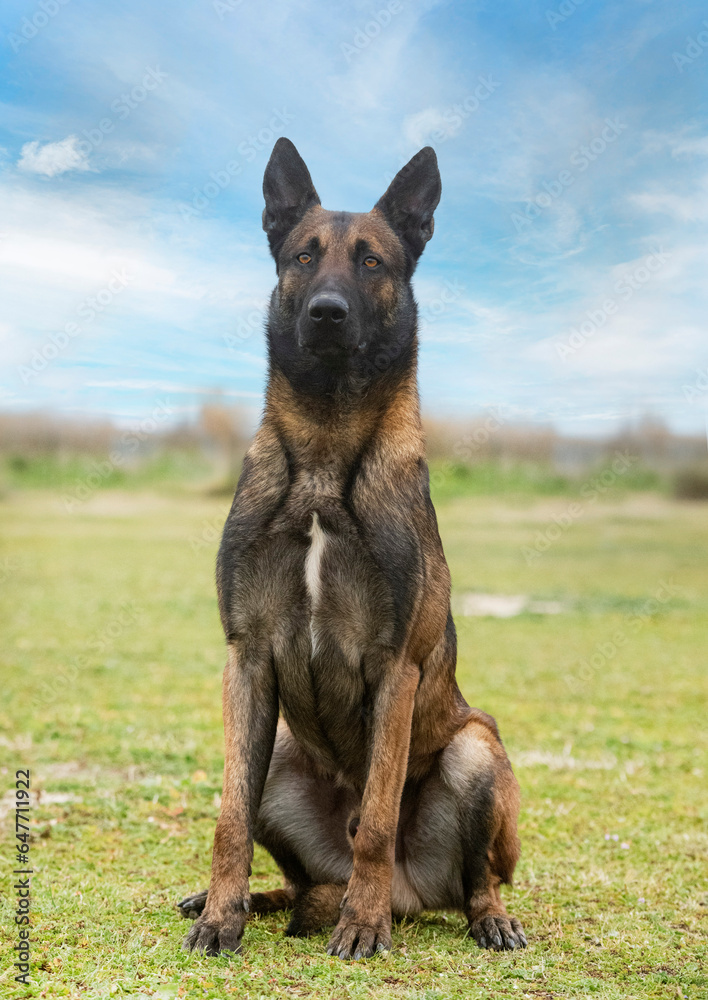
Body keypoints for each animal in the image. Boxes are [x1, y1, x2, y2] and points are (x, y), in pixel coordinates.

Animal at [180, 137, 524, 956]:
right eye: (304, 256)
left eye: (371, 262)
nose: (327, 313)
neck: (325, 452)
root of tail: (412, 895)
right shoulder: (247, 657)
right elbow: (229, 817)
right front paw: (221, 915)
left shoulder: (394, 667)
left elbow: (376, 818)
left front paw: (362, 926)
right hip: (279, 754)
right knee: (291, 867)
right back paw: (253, 900)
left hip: (475, 748)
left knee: (475, 877)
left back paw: (466, 916)